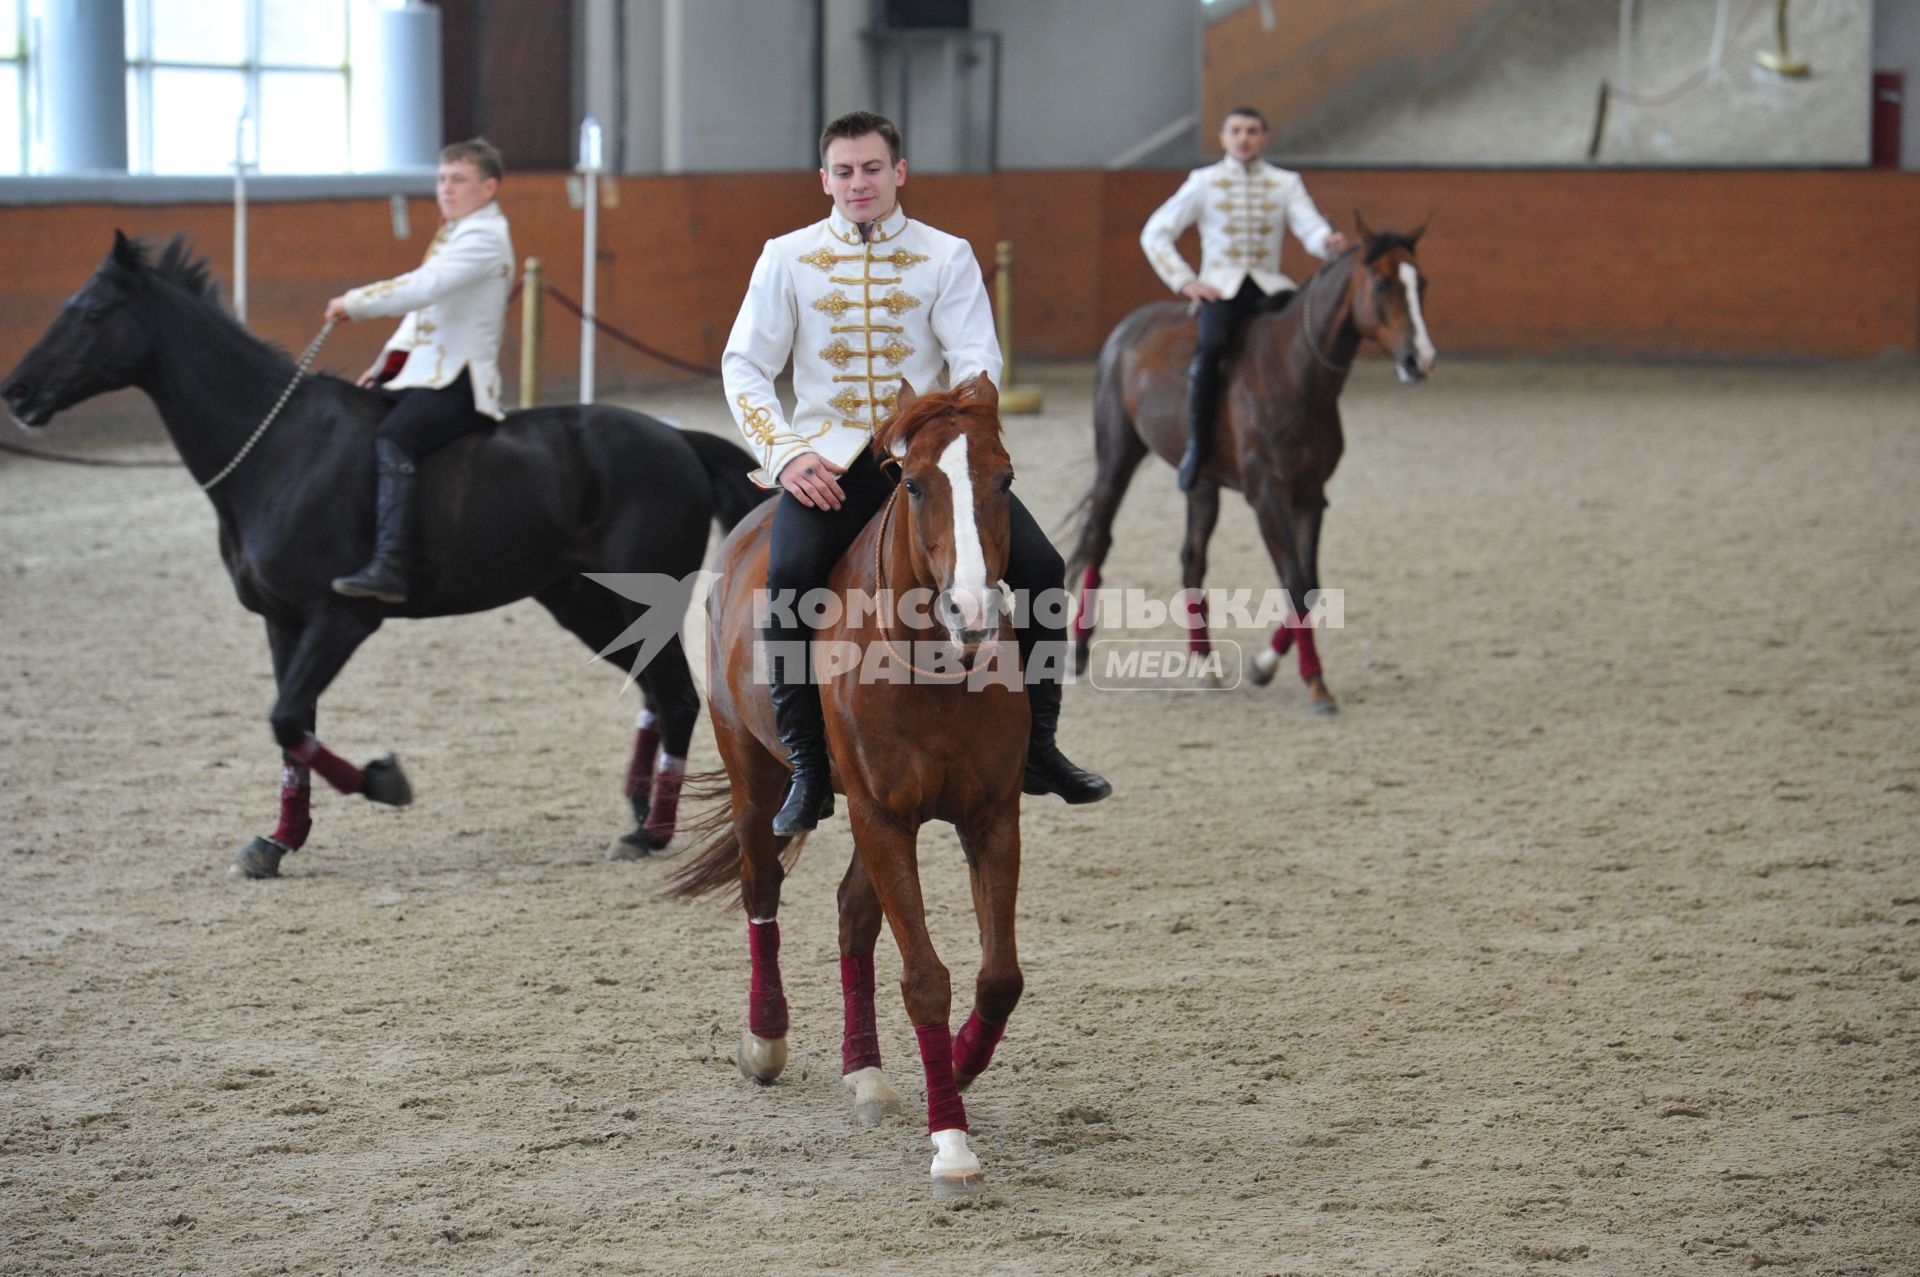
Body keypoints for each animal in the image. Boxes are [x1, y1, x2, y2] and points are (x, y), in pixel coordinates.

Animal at [1, 234, 764, 875]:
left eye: (92, 310)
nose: (17, 391)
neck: (280, 450)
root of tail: (676, 438)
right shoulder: (282, 621)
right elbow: (292, 725)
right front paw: (278, 839)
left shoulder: (340, 618)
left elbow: (286, 718)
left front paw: (383, 782)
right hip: (581, 601)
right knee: (654, 693)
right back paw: (638, 808)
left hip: (638, 601)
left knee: (676, 696)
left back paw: (651, 828)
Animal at [675, 374, 1036, 1190]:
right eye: (915, 482)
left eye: (1004, 479)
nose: (972, 610)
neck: (933, 667)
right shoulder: (881, 816)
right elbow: (925, 977)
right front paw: (951, 1141)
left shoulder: (989, 815)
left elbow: (999, 975)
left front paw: (958, 1066)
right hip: (757, 780)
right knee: (762, 888)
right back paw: (765, 1040)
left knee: (851, 914)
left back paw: (866, 1072)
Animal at [1059, 223, 1436, 710]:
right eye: (1382, 284)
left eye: (1420, 283)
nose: (1419, 360)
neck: (1295, 372)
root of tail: (1126, 329)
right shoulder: (1267, 497)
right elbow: (1294, 579)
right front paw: (1314, 680)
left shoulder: (1310, 496)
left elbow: (1309, 585)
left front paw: (1264, 666)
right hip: (1116, 458)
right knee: (1100, 541)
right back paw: (1079, 652)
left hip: (1201, 482)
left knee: (1191, 558)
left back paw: (1203, 662)